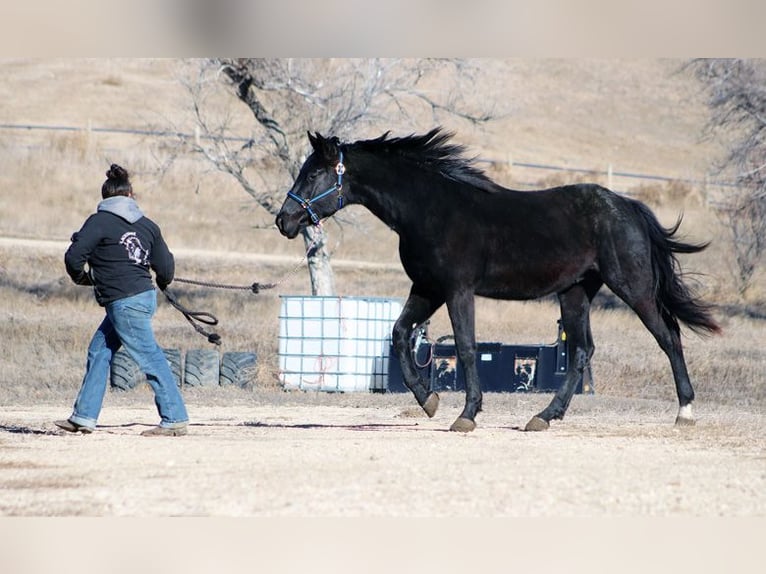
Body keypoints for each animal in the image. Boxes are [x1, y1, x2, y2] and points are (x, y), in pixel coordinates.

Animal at [276, 128, 720, 433]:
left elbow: (468, 348)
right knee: (582, 352)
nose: (284, 220)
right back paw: (544, 417)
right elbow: (400, 334)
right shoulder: (428, 288)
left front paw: (466, 415)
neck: (429, 208)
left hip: (632, 288)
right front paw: (429, 400)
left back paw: (685, 412)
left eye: (314, 174)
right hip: (575, 292)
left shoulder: (457, 290)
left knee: (668, 337)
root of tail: (627, 205)